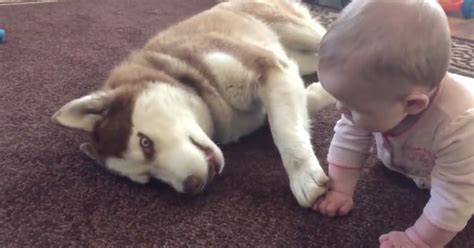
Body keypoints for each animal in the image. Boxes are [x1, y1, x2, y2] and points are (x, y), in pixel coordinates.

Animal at [51, 0, 336, 207]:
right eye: (148, 179)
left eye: (145, 143)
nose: (193, 186)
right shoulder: (282, 75)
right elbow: (292, 110)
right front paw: (320, 94)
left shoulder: (268, 68)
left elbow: (285, 132)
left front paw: (304, 176)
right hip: (300, 54)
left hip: (293, 29)